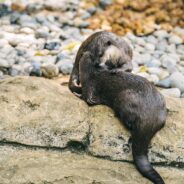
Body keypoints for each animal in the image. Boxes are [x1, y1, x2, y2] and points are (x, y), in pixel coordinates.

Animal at [76, 51, 167, 183]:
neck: (90, 74)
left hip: (123, 98)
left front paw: (77, 94)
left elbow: (88, 99)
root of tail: (148, 118)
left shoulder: (90, 88)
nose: (86, 52)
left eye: (90, 55)